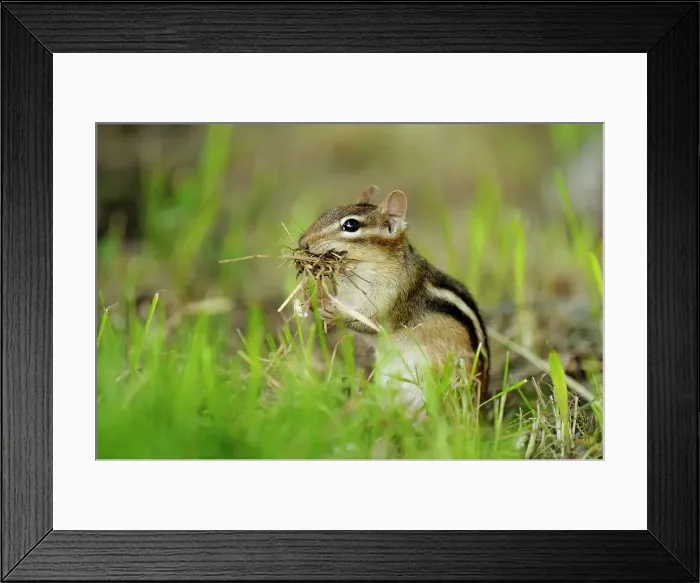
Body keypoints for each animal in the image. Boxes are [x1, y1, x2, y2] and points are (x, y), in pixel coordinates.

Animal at [297, 185, 490, 413]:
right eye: (326, 213)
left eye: (351, 225)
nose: (303, 242)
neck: (361, 272)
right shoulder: (346, 295)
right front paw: (319, 304)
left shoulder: (395, 299)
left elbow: (371, 323)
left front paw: (334, 313)